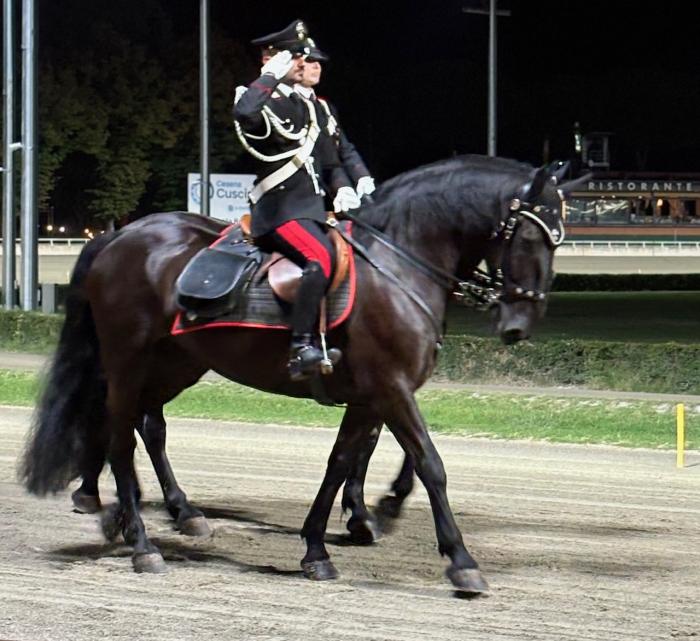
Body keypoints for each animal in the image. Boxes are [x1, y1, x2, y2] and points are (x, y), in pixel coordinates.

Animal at [21, 154, 579, 594]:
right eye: (530, 236)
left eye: (558, 239)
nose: (518, 324)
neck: (397, 264)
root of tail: (122, 234)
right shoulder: (392, 387)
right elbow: (429, 464)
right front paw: (459, 559)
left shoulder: (368, 395)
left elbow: (342, 461)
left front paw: (321, 545)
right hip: (129, 360)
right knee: (120, 436)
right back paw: (138, 539)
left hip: (176, 362)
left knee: (142, 426)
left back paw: (147, 513)